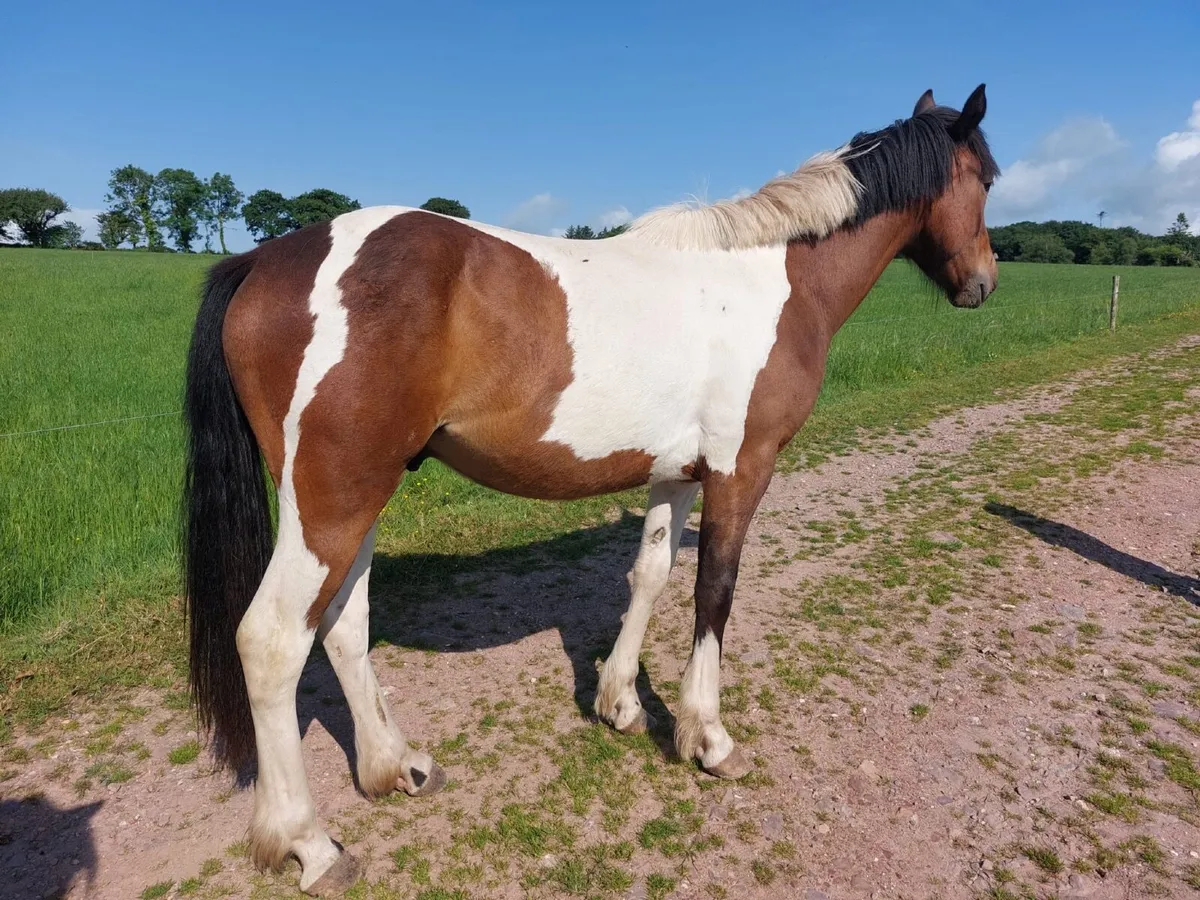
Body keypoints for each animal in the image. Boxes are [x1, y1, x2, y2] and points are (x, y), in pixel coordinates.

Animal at [182, 84, 999, 895]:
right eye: (987, 180)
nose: (985, 283)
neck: (771, 280)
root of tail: (261, 259)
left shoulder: (676, 472)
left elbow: (651, 575)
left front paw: (620, 704)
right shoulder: (743, 468)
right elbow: (714, 591)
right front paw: (707, 737)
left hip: (360, 495)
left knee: (344, 624)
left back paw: (394, 767)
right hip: (332, 497)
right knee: (273, 641)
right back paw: (307, 843)